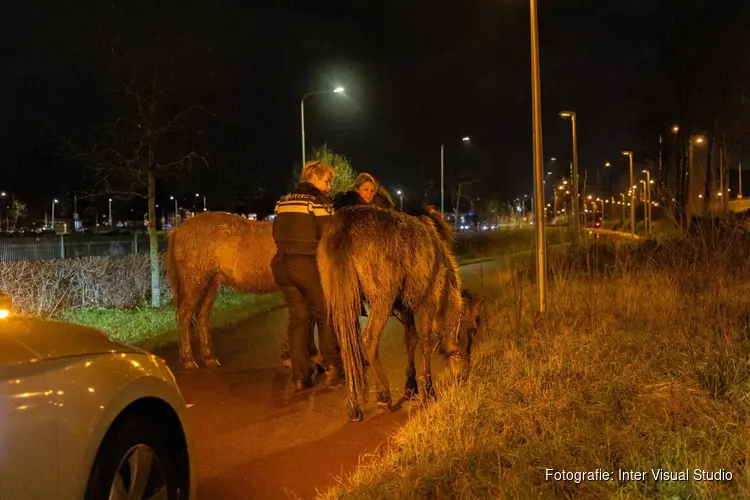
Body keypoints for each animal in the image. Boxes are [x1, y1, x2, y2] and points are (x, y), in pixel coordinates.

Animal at [167, 213, 280, 370]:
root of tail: (178, 229)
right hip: (194, 282)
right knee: (184, 316)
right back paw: (188, 360)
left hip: (209, 284)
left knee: (202, 316)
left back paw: (209, 358)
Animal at [318, 205, 484, 420]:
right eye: (472, 329)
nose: (463, 375)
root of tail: (343, 227)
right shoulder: (427, 302)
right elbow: (425, 342)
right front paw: (429, 392)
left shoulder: (406, 307)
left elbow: (410, 341)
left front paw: (410, 387)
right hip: (382, 298)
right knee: (369, 340)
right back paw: (384, 396)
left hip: (342, 301)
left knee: (348, 347)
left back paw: (354, 405)